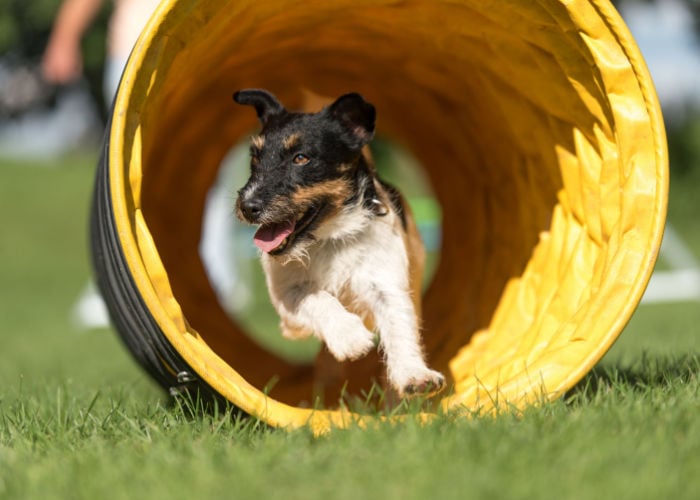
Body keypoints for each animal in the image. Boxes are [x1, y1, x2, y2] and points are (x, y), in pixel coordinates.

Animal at [234, 88, 442, 396]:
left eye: (301, 158)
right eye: (255, 158)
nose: (248, 207)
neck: (328, 238)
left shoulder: (385, 282)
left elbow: (398, 324)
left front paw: (414, 374)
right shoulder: (287, 296)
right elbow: (316, 297)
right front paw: (351, 338)